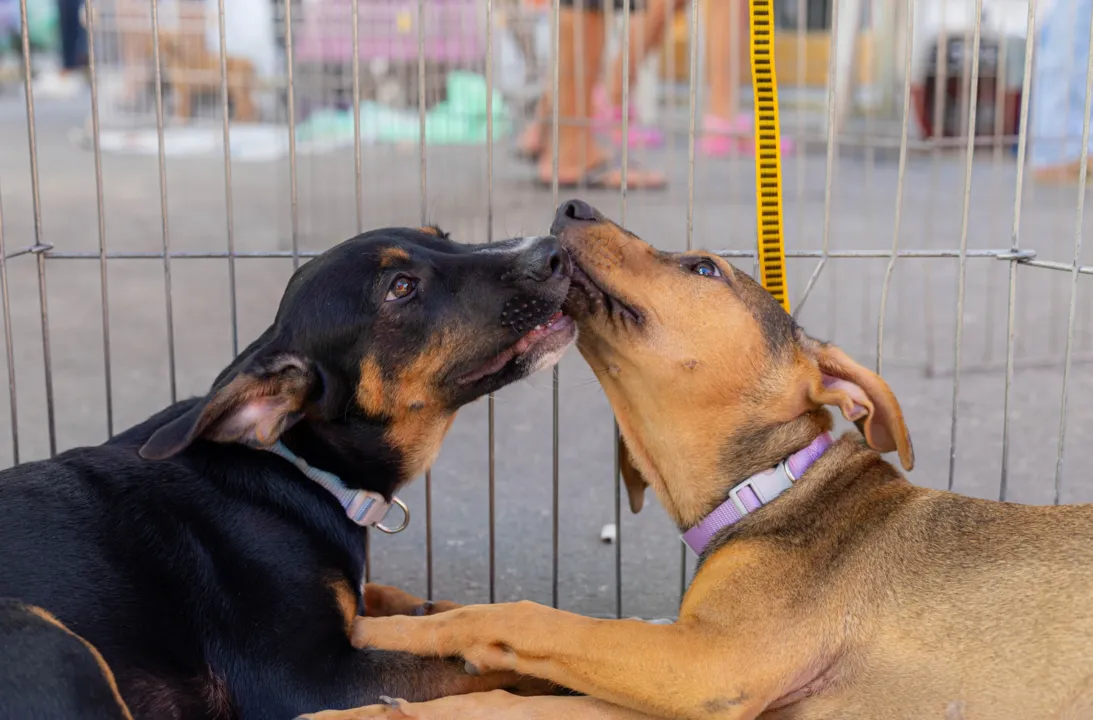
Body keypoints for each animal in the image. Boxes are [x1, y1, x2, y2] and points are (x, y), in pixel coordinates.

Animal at [0, 227, 577, 720]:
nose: (556, 251)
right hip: (44, 637)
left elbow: (407, 604)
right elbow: (471, 674)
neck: (302, 466)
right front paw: (549, 669)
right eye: (400, 287)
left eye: (445, 237)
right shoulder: (303, 679)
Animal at [336, 198, 1093, 720]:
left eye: (703, 268)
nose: (572, 205)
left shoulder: (708, 666)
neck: (770, 488)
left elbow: (525, 617)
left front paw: (384, 637)